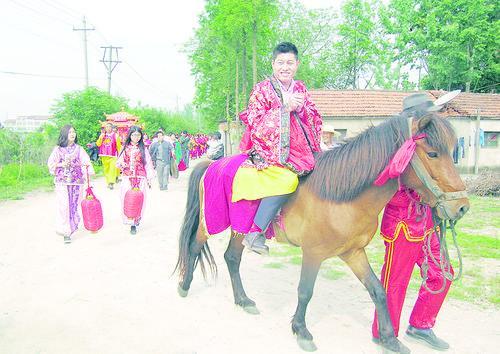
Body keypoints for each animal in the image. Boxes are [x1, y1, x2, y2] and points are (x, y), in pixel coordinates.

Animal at [173, 112, 468, 352]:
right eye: (432, 153)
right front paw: (301, 331)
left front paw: (389, 339)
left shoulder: (353, 252)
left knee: (232, 259)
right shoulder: (313, 254)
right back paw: (185, 287)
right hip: (209, 224)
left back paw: (244, 301)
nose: (462, 206)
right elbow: (305, 291)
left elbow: (377, 290)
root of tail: (212, 164)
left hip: (240, 229)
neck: (342, 196)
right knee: (195, 247)